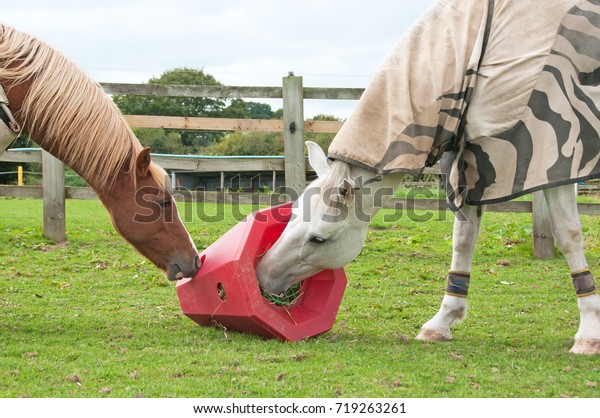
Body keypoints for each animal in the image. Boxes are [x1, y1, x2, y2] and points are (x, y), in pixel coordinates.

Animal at [256, 142, 600, 354]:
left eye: (318, 239)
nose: (262, 273)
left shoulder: (554, 165)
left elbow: (568, 234)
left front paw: (588, 334)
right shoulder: (468, 167)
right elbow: (463, 237)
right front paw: (443, 321)